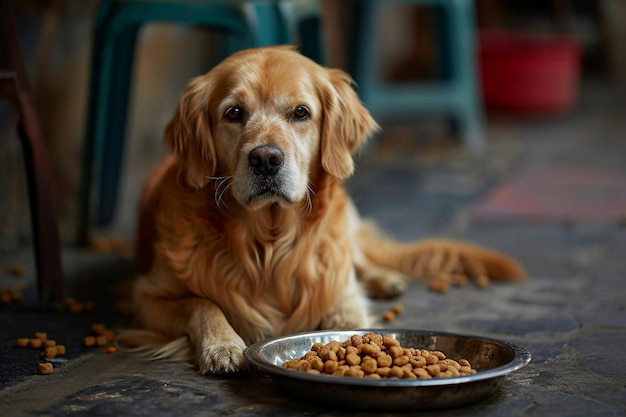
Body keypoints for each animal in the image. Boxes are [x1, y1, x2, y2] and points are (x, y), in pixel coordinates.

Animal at [116, 45, 520, 374]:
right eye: (233, 113)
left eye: (300, 112)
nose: (266, 159)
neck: (268, 245)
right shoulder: (144, 296)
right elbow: (201, 304)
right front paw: (223, 344)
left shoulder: (337, 288)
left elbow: (346, 311)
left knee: (360, 258)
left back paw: (385, 278)